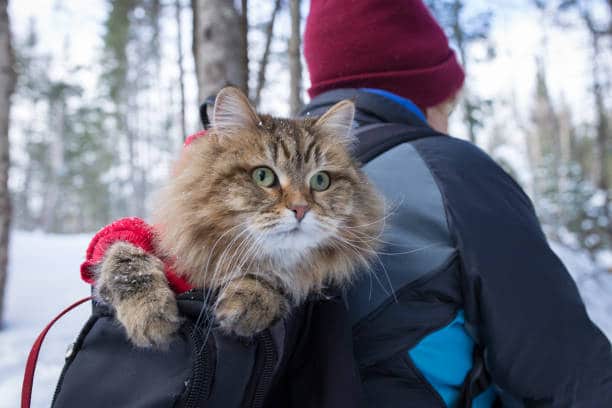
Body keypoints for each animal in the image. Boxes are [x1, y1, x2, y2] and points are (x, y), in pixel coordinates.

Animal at [93, 87, 384, 348]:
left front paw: (250, 300)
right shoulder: (134, 237)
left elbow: (275, 276)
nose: (301, 209)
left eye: (321, 181)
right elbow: (126, 258)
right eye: (263, 176)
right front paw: (150, 315)